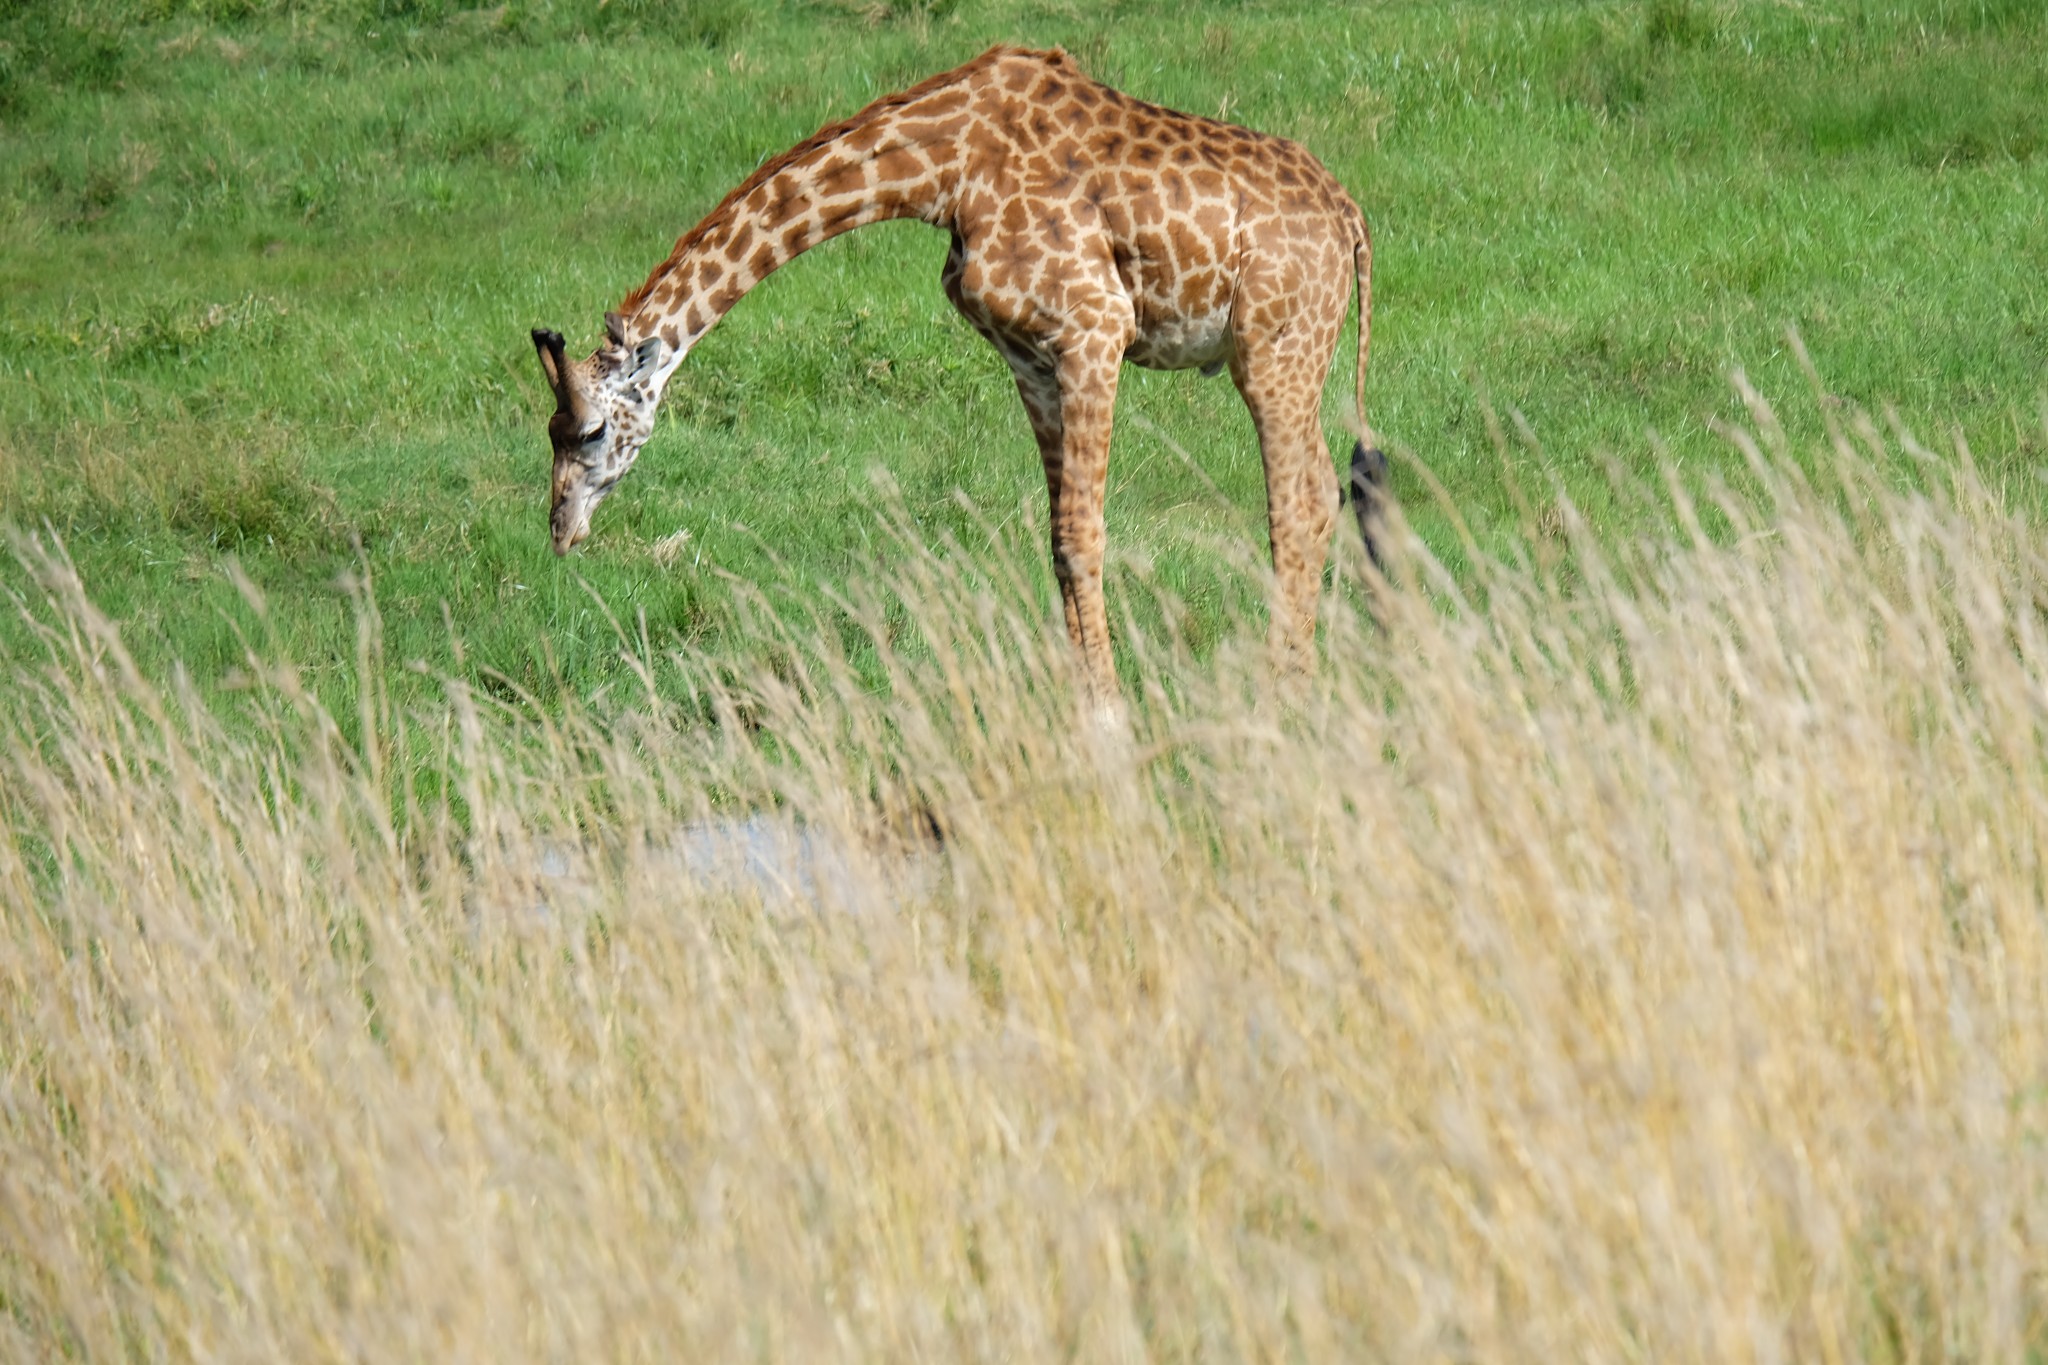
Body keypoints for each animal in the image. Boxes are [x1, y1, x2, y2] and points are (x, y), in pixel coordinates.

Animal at [532, 45, 1392, 703]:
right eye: (551, 432)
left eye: (592, 430)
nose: (560, 530)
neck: (942, 170)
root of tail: (1352, 219)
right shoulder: (1032, 357)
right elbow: (1055, 540)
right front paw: (1082, 707)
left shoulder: (1095, 328)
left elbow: (1084, 533)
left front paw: (1112, 716)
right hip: (1286, 353)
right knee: (1323, 488)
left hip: (1275, 347)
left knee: (1298, 499)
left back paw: (1285, 690)